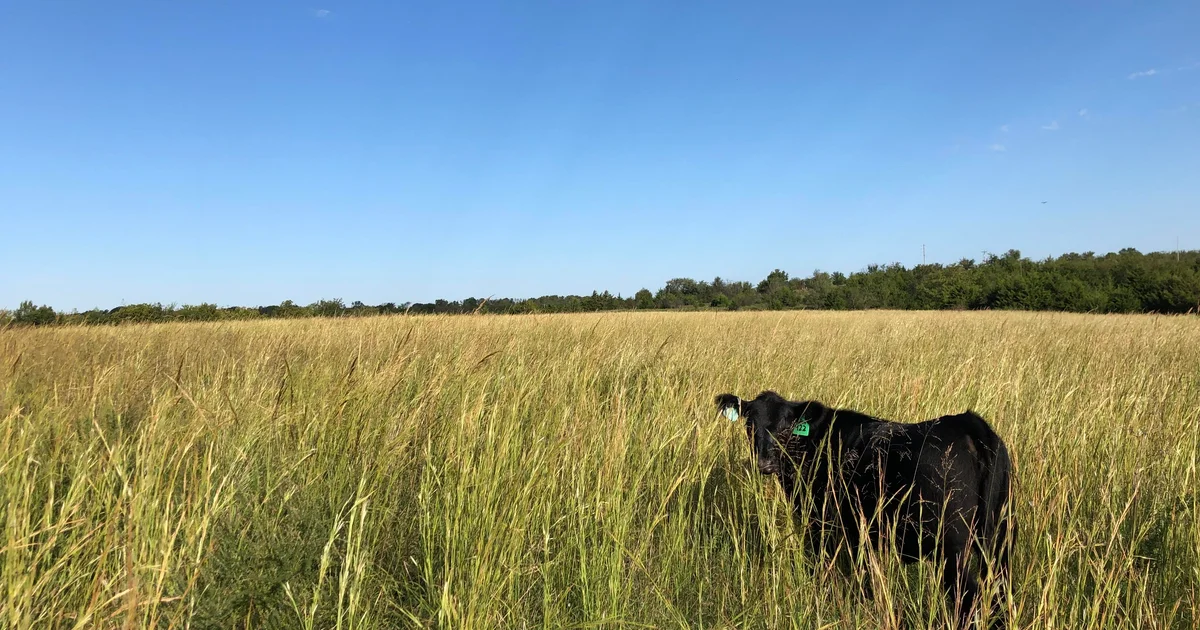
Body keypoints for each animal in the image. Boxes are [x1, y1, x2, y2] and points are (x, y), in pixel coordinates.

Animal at [715, 391, 1014, 629]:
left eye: (786, 427)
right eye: (750, 424)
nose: (765, 463)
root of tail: (966, 423)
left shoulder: (822, 523)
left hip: (951, 547)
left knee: (970, 597)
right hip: (999, 539)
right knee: (999, 591)